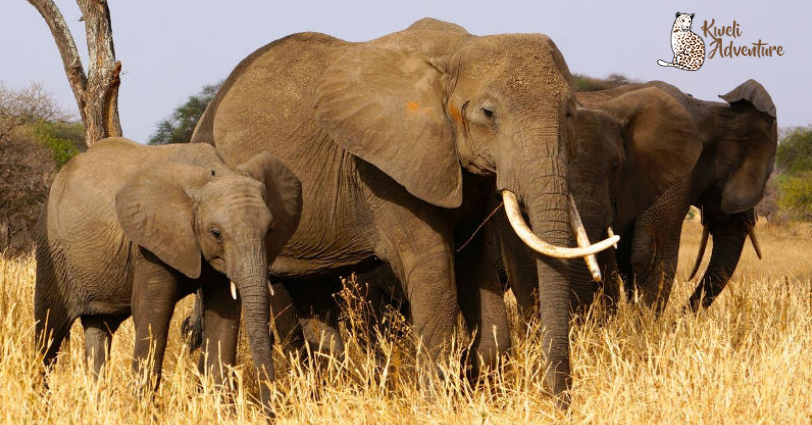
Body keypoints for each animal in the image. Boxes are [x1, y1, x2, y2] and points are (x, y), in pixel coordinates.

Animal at [34, 137, 302, 416]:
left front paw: (224, 414)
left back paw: (97, 410)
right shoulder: (149, 242)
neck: (213, 172)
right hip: (52, 248)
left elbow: (224, 317)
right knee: (48, 334)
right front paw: (140, 413)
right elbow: (153, 313)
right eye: (216, 233)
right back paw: (41, 406)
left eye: (270, 230)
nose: (270, 412)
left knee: (99, 330)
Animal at [188, 17, 617, 405]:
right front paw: (439, 405)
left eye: (570, 112)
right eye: (488, 113)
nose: (559, 403)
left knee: (311, 292)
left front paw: (477, 387)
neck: (456, 52)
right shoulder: (386, 172)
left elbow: (472, 262)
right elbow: (432, 268)